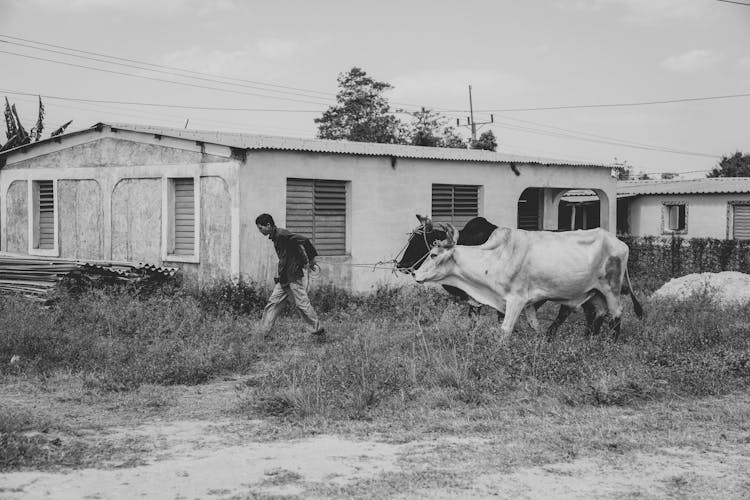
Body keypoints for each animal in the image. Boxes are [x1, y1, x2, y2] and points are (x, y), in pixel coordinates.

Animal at [414, 225, 644, 342]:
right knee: (599, 314)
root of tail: (619, 242)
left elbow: (505, 329)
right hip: (594, 292)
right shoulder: (529, 304)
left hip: (611, 289)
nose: (416, 274)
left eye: (434, 254)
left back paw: (610, 344)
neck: (496, 259)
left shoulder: (516, 300)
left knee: (616, 314)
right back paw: (589, 342)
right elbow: (535, 326)